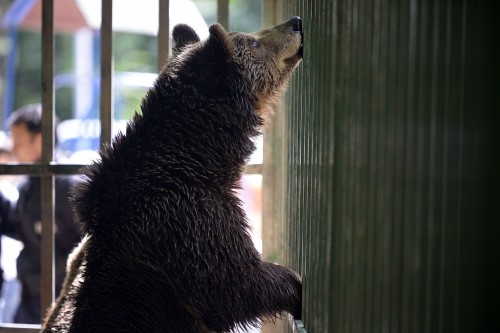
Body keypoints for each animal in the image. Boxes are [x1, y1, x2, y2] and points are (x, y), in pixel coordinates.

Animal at [41, 17, 304, 332]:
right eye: (253, 41)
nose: (295, 23)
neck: (200, 160)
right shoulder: (184, 219)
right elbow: (231, 285)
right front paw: (294, 284)